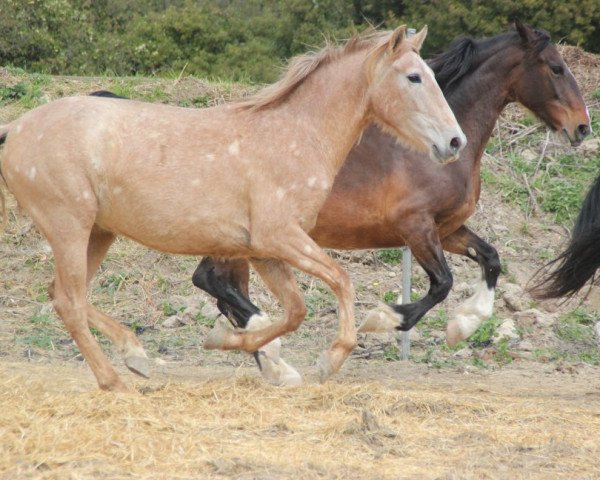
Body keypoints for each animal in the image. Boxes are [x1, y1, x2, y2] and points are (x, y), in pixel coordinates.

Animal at [0, 26, 464, 390]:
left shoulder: (264, 251)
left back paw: (137, 356)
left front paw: (224, 340)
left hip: (98, 232)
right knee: (69, 302)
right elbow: (341, 282)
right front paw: (329, 360)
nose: (454, 142)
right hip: (69, 227)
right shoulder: (281, 238)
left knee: (63, 295)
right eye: (413, 77)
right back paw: (115, 381)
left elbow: (294, 310)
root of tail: (15, 128)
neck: (295, 136)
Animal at [191, 20, 592, 384]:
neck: (423, 151)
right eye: (556, 67)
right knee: (213, 282)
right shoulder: (415, 227)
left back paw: (272, 363)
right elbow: (442, 283)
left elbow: (491, 259)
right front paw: (383, 319)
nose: (582, 127)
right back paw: (273, 356)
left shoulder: (447, 230)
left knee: (221, 289)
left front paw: (461, 326)